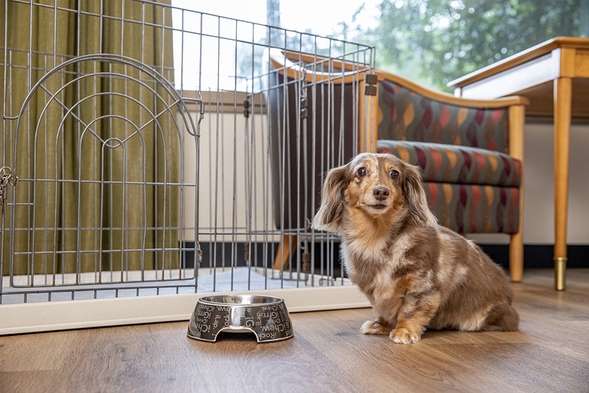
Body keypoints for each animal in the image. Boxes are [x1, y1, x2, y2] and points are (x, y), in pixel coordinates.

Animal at [310, 153, 516, 344]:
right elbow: (384, 309)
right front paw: (381, 325)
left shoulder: (421, 286)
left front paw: (404, 331)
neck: (376, 238)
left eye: (394, 174)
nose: (381, 192)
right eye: (361, 171)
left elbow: (410, 310)